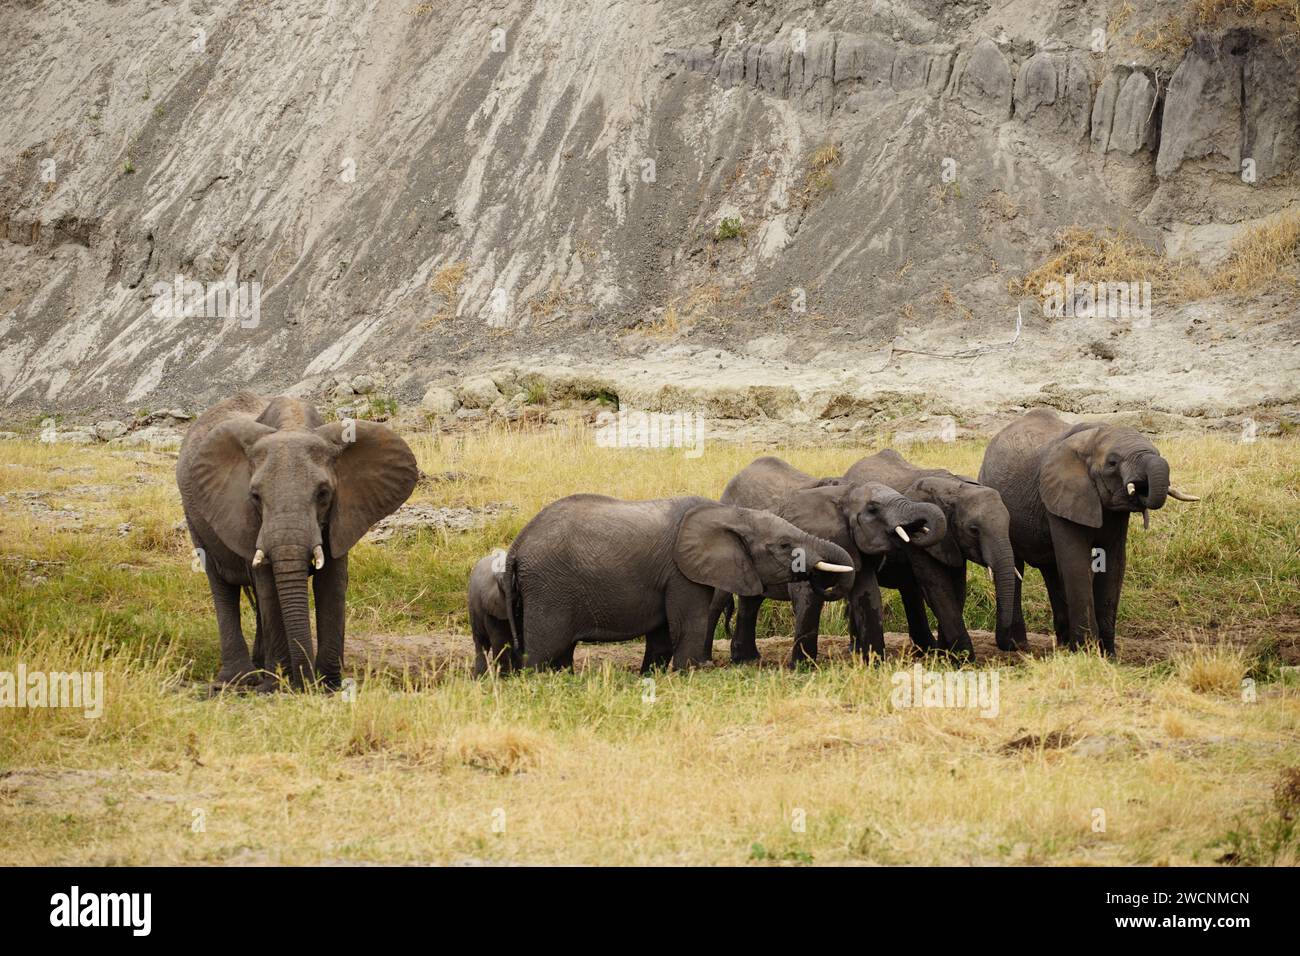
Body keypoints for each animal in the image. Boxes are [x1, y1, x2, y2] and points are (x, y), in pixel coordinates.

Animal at [176, 392, 416, 691]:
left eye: (323, 493)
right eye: (255, 496)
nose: (306, 683)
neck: (294, 424)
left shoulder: (342, 515)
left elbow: (332, 584)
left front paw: (328, 687)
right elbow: (268, 586)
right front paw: (277, 687)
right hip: (195, 515)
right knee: (221, 585)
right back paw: (240, 680)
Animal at [496, 494, 852, 671]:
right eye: (783, 545)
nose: (816, 579)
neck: (729, 512)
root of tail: (516, 547)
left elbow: (662, 635)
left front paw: (652, 675)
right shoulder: (681, 572)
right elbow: (687, 624)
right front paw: (687, 674)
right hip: (548, 587)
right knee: (545, 648)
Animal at [712, 455, 946, 665]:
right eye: (873, 508)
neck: (843, 494)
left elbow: (868, 595)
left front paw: (876, 665)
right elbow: (807, 597)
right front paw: (803, 668)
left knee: (751, 602)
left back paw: (746, 661)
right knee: (719, 599)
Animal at [842, 447, 1024, 658]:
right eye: (973, 530)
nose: (1012, 645)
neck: (957, 487)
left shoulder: (952, 543)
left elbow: (957, 589)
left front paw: (945, 655)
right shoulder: (925, 545)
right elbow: (939, 588)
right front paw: (963, 659)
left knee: (909, 589)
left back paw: (925, 650)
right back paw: (856, 650)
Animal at [977, 408, 1201, 655]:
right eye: (1112, 463)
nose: (1142, 487)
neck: (1093, 438)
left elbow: (1114, 563)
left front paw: (1108, 655)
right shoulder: (1061, 495)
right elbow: (1076, 562)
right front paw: (1087, 653)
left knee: (1052, 569)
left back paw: (1063, 646)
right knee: (1018, 564)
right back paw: (1018, 647)